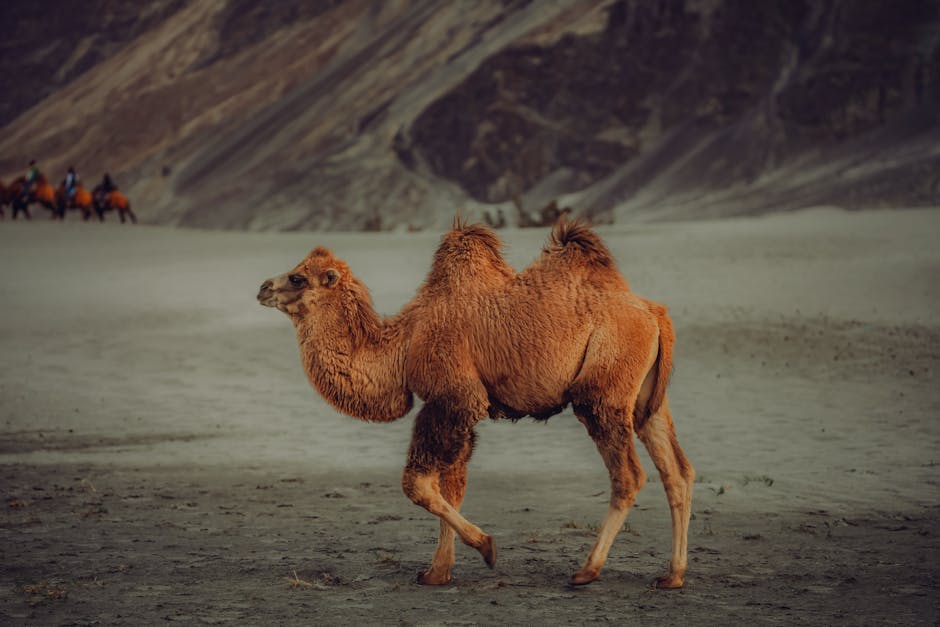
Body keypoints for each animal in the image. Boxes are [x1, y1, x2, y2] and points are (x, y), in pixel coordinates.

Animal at [257, 217, 694, 588]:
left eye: (297, 277)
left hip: (604, 391)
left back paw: (587, 570)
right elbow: (452, 486)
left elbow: (417, 483)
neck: (404, 345)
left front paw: (486, 547)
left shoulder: (454, 397)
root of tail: (656, 314)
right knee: (677, 471)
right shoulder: (457, 411)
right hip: (647, 400)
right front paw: (438, 572)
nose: (262, 288)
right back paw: (672, 575)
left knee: (629, 475)